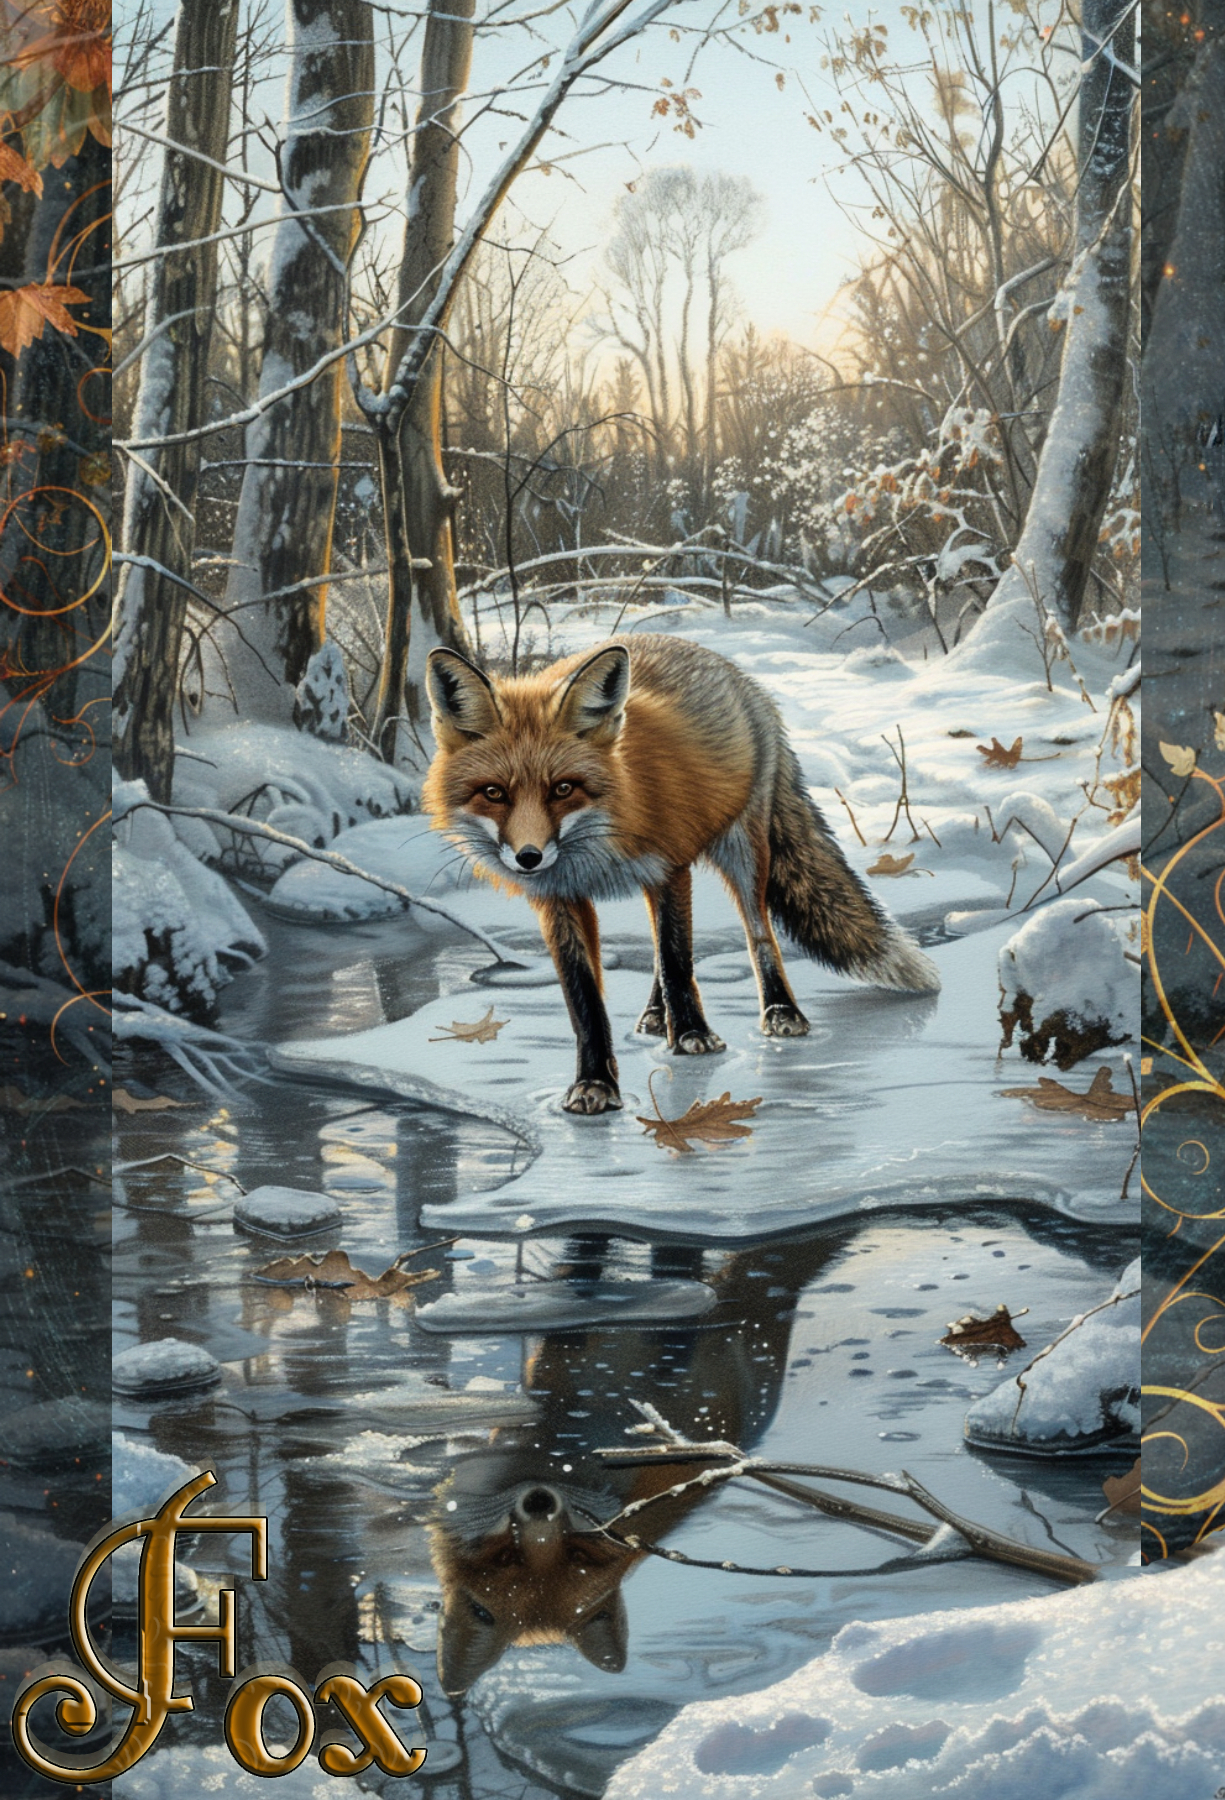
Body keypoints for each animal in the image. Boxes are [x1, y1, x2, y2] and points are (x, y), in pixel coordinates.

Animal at [423, 633, 939, 1115]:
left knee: (758, 932)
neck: (608, 825)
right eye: (494, 793)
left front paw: (693, 1035)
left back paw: (779, 1010)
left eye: (563, 789)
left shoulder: (669, 866)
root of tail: (731, 670)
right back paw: (655, 1016)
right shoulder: (559, 897)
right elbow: (584, 997)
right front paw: (595, 1083)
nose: (528, 858)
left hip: (744, 848)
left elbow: (676, 960)